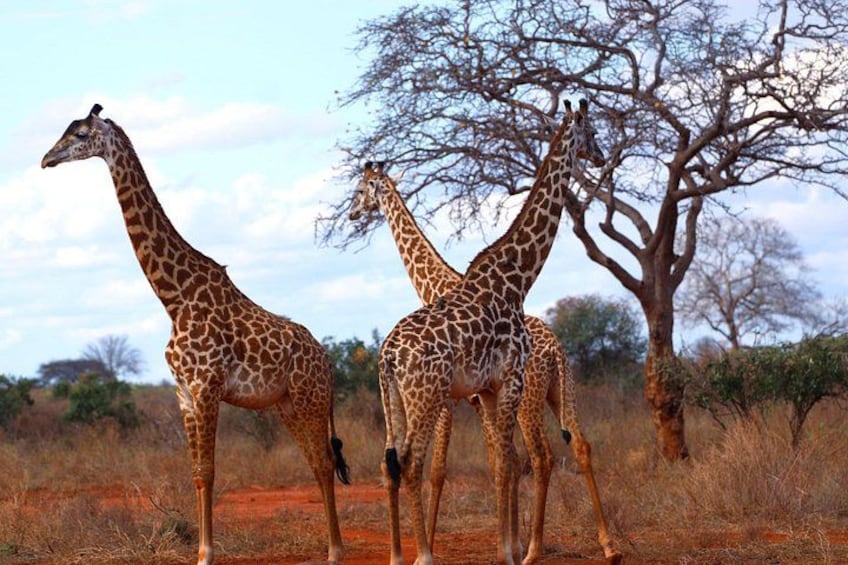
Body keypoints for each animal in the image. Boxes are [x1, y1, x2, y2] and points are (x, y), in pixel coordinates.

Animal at [41, 104, 351, 565]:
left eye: (79, 134)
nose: (46, 159)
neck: (174, 298)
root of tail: (328, 361)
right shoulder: (184, 392)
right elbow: (197, 474)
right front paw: (201, 552)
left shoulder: (207, 385)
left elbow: (210, 469)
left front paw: (206, 553)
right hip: (287, 404)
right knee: (317, 461)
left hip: (310, 400)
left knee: (326, 461)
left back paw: (335, 550)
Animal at [350, 161, 621, 564]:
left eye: (359, 190)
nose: (352, 213)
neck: (436, 284)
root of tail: (556, 349)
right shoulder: (477, 398)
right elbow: (500, 463)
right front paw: (506, 542)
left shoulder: (456, 399)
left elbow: (448, 469)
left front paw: (435, 547)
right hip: (559, 391)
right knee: (579, 445)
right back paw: (606, 546)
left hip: (526, 399)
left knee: (541, 456)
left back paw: (534, 549)